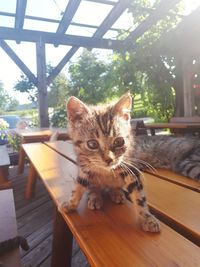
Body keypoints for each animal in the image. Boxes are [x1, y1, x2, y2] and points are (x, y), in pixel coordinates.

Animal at [61, 93, 160, 233]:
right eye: (92, 144)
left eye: (119, 141)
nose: (109, 159)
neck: (105, 171)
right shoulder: (85, 168)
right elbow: (78, 186)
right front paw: (71, 204)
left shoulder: (129, 168)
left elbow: (139, 197)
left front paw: (147, 218)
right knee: (93, 187)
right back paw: (95, 197)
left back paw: (116, 193)